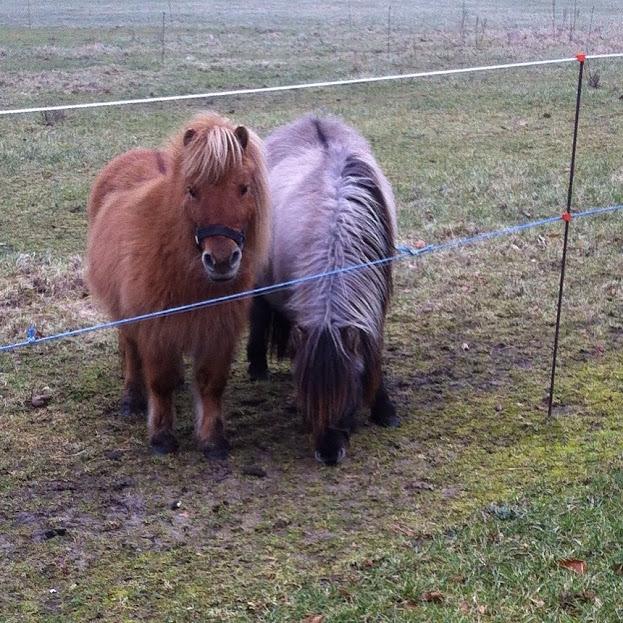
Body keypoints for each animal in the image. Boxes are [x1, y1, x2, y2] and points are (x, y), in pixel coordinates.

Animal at [87, 113, 270, 458]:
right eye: (192, 190)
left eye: (243, 188)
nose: (222, 260)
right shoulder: (156, 329)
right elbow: (160, 381)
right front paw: (161, 436)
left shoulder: (218, 329)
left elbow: (212, 382)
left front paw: (212, 439)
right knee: (131, 349)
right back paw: (132, 397)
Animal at [247, 117, 400, 466]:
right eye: (308, 395)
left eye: (351, 390)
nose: (329, 454)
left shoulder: (375, 306)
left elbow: (372, 350)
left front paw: (384, 409)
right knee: (259, 315)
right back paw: (258, 366)